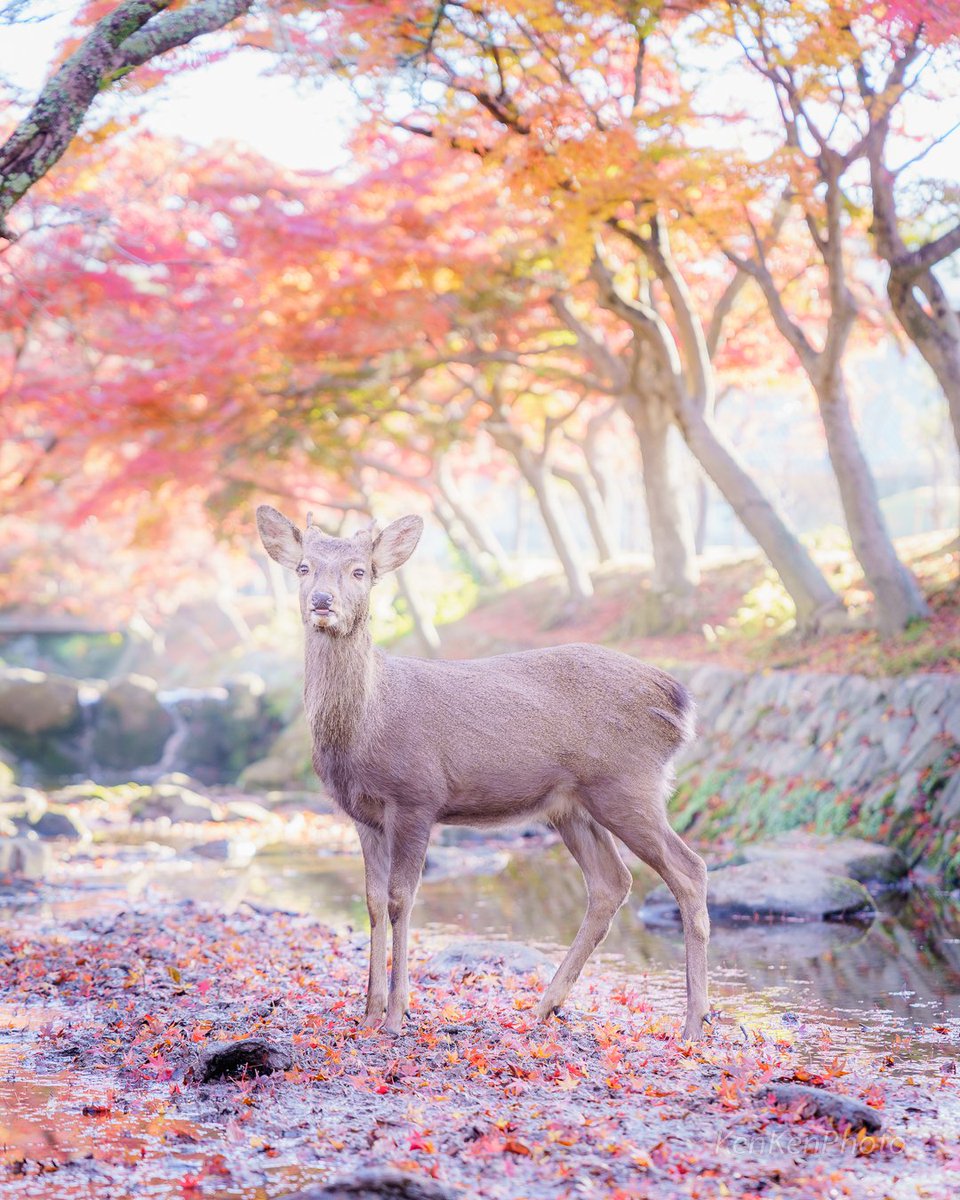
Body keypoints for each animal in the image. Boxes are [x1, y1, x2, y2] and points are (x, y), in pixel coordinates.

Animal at [256, 505, 710, 1040]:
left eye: (360, 571)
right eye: (303, 568)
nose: (322, 601)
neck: (367, 723)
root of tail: (678, 701)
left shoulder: (417, 795)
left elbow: (400, 899)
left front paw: (396, 1015)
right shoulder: (362, 814)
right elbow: (370, 901)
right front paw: (367, 1013)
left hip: (628, 783)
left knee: (689, 869)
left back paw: (694, 1024)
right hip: (572, 804)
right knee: (611, 883)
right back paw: (544, 1007)